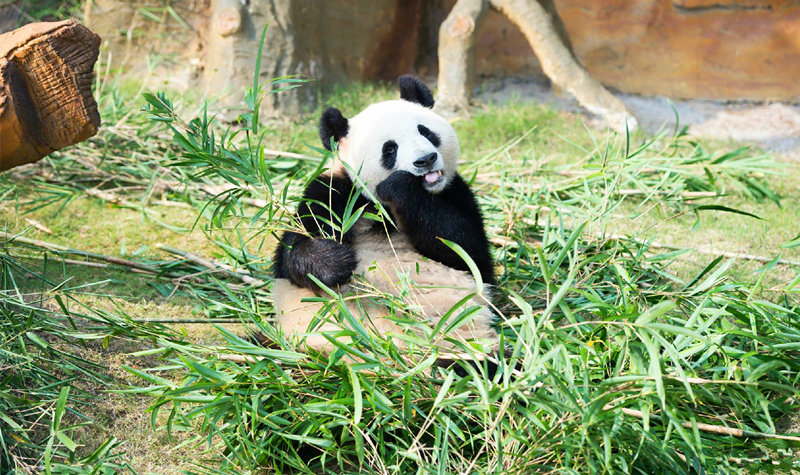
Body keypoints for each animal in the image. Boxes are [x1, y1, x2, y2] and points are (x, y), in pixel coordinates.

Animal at [276, 74, 500, 358]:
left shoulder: (455, 192)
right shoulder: (332, 191)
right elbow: (292, 253)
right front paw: (334, 261)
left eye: (425, 132)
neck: (379, 205)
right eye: (390, 149)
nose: (426, 159)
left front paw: (400, 188)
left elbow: (468, 253)